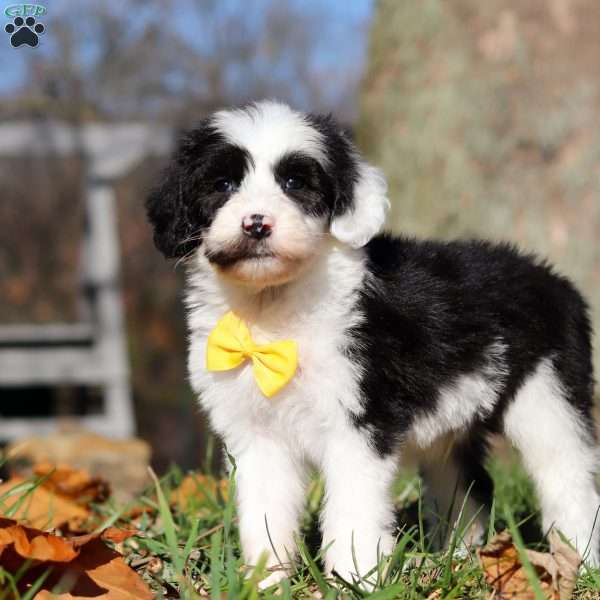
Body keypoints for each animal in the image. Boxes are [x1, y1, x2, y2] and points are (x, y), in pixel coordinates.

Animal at [146, 101, 600, 584]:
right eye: (223, 185)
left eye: (294, 183)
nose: (256, 224)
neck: (275, 313)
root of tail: (555, 281)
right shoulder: (256, 434)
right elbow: (266, 509)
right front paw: (265, 581)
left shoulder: (358, 423)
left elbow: (352, 509)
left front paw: (353, 579)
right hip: (454, 420)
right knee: (462, 483)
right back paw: (458, 559)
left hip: (547, 394)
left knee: (566, 476)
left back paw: (580, 560)